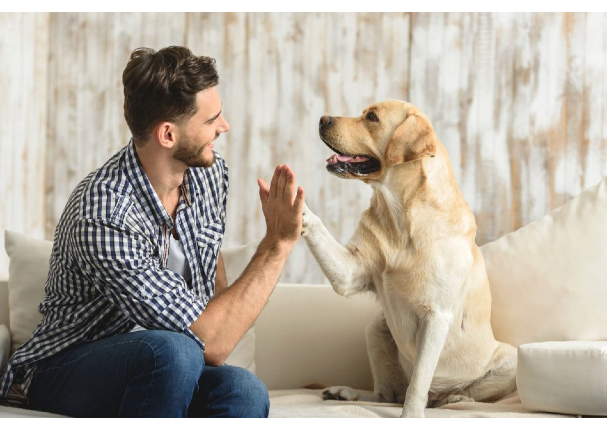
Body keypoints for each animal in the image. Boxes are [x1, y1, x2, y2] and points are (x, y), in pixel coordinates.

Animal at [302, 100, 516, 416]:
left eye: (372, 117)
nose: (322, 119)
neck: (401, 217)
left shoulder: (436, 316)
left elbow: (418, 384)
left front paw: (412, 415)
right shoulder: (350, 273)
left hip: (510, 360)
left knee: (445, 394)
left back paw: (453, 398)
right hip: (376, 329)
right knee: (386, 394)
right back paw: (345, 392)